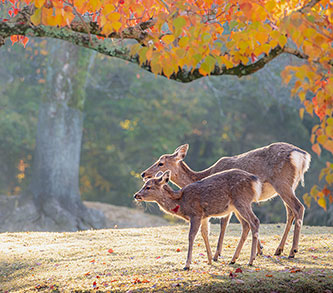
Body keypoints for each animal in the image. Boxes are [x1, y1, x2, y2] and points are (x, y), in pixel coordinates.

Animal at [141, 141, 310, 258]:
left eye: (161, 163)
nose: (144, 173)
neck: (203, 175)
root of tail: (302, 156)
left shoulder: (228, 200)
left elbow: (224, 223)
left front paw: (217, 254)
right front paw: (260, 250)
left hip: (282, 183)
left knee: (298, 207)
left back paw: (293, 251)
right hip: (290, 185)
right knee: (290, 212)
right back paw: (279, 250)